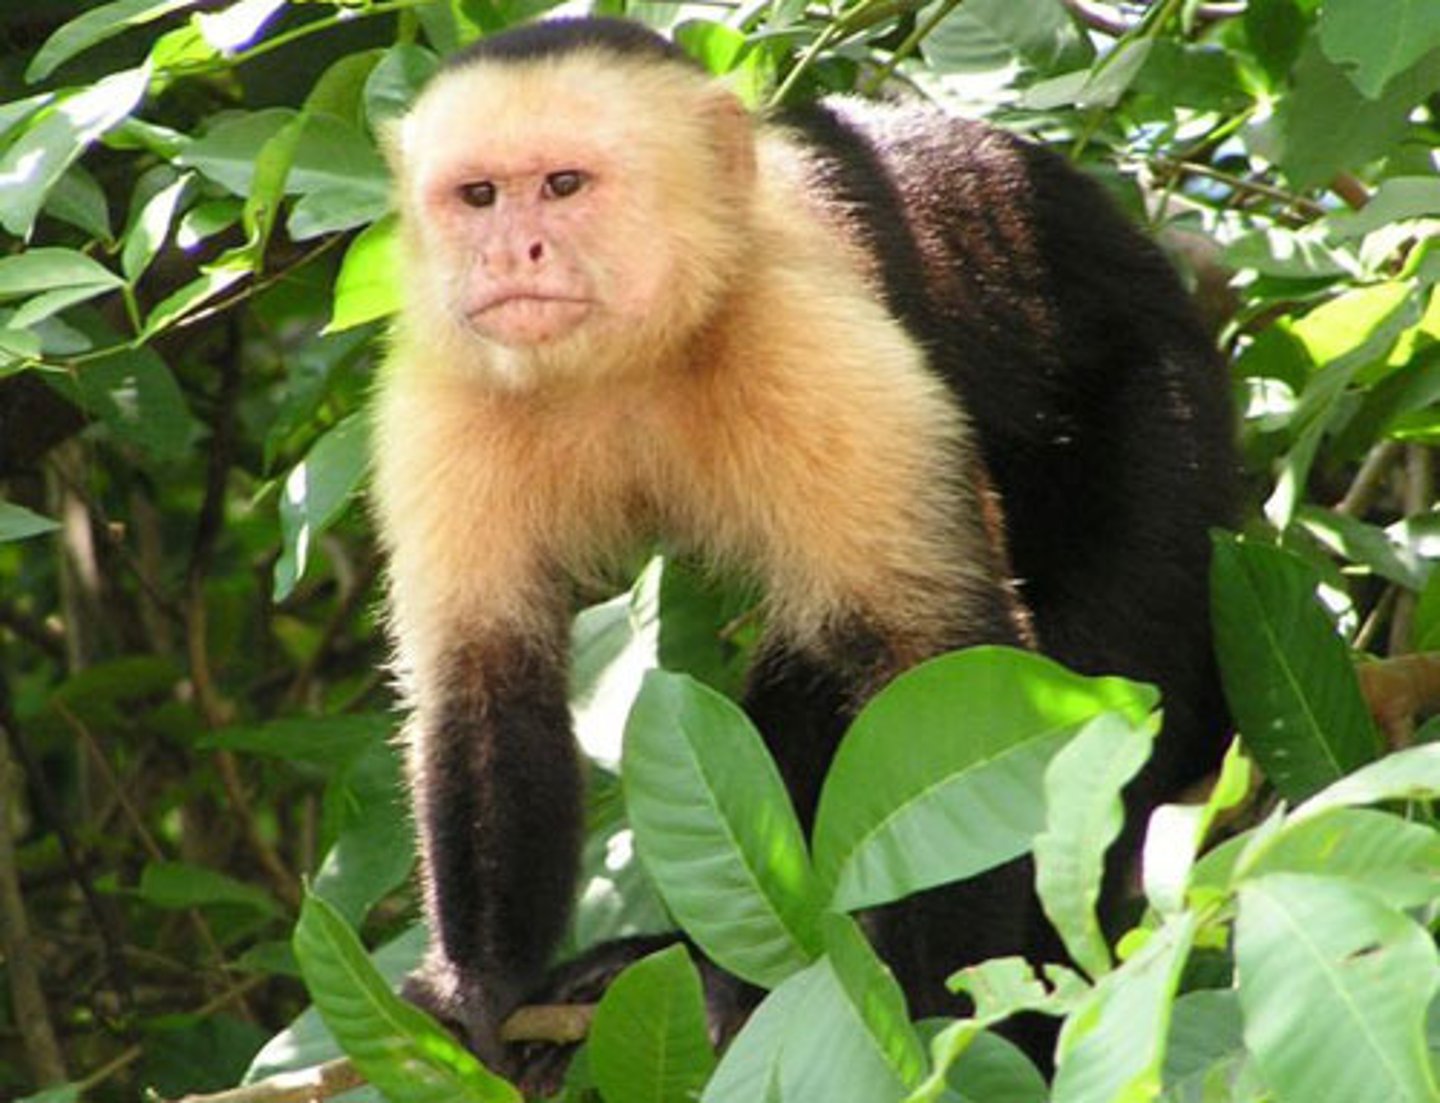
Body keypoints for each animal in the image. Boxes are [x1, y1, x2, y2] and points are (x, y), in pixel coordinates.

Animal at [371, 15, 1237, 1077]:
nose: (511, 253)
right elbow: (485, 672)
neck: (629, 359)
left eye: (564, 185)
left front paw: (934, 1022)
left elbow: (939, 667)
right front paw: (481, 988)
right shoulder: (448, 383)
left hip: (1163, 421)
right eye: (480, 196)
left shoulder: (805, 337)